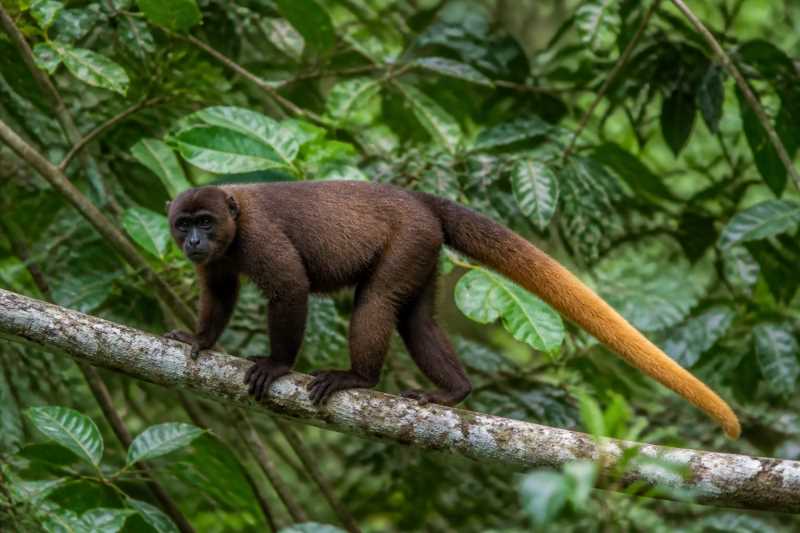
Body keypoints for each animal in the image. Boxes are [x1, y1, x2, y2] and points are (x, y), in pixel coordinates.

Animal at [164, 181, 741, 439]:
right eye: (182, 224)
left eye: (206, 223)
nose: (193, 241)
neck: (233, 227)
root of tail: (421, 201)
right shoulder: (219, 261)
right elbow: (219, 294)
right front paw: (201, 340)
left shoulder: (258, 238)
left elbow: (290, 289)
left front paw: (277, 365)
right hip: (423, 251)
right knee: (414, 318)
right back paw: (454, 390)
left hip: (410, 239)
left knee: (376, 301)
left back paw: (359, 378)